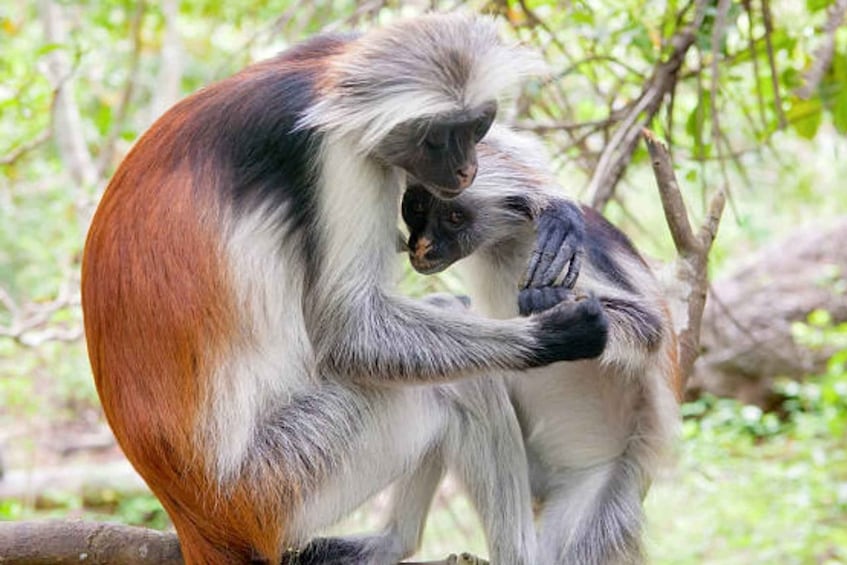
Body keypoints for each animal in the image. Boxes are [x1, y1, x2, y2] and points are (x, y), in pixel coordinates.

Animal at [81, 15, 610, 564]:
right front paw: (555, 335)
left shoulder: (333, 61)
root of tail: (198, 519)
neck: (319, 90)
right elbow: (348, 332)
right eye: (438, 139)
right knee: (460, 385)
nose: (468, 170)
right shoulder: (337, 154)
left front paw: (547, 198)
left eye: (476, 127)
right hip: (286, 478)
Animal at [400, 127, 682, 565]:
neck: (506, 241)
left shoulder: (576, 258)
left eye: (454, 217)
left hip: (596, 488)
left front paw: (554, 306)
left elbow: (650, 326)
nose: (422, 246)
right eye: (416, 207)